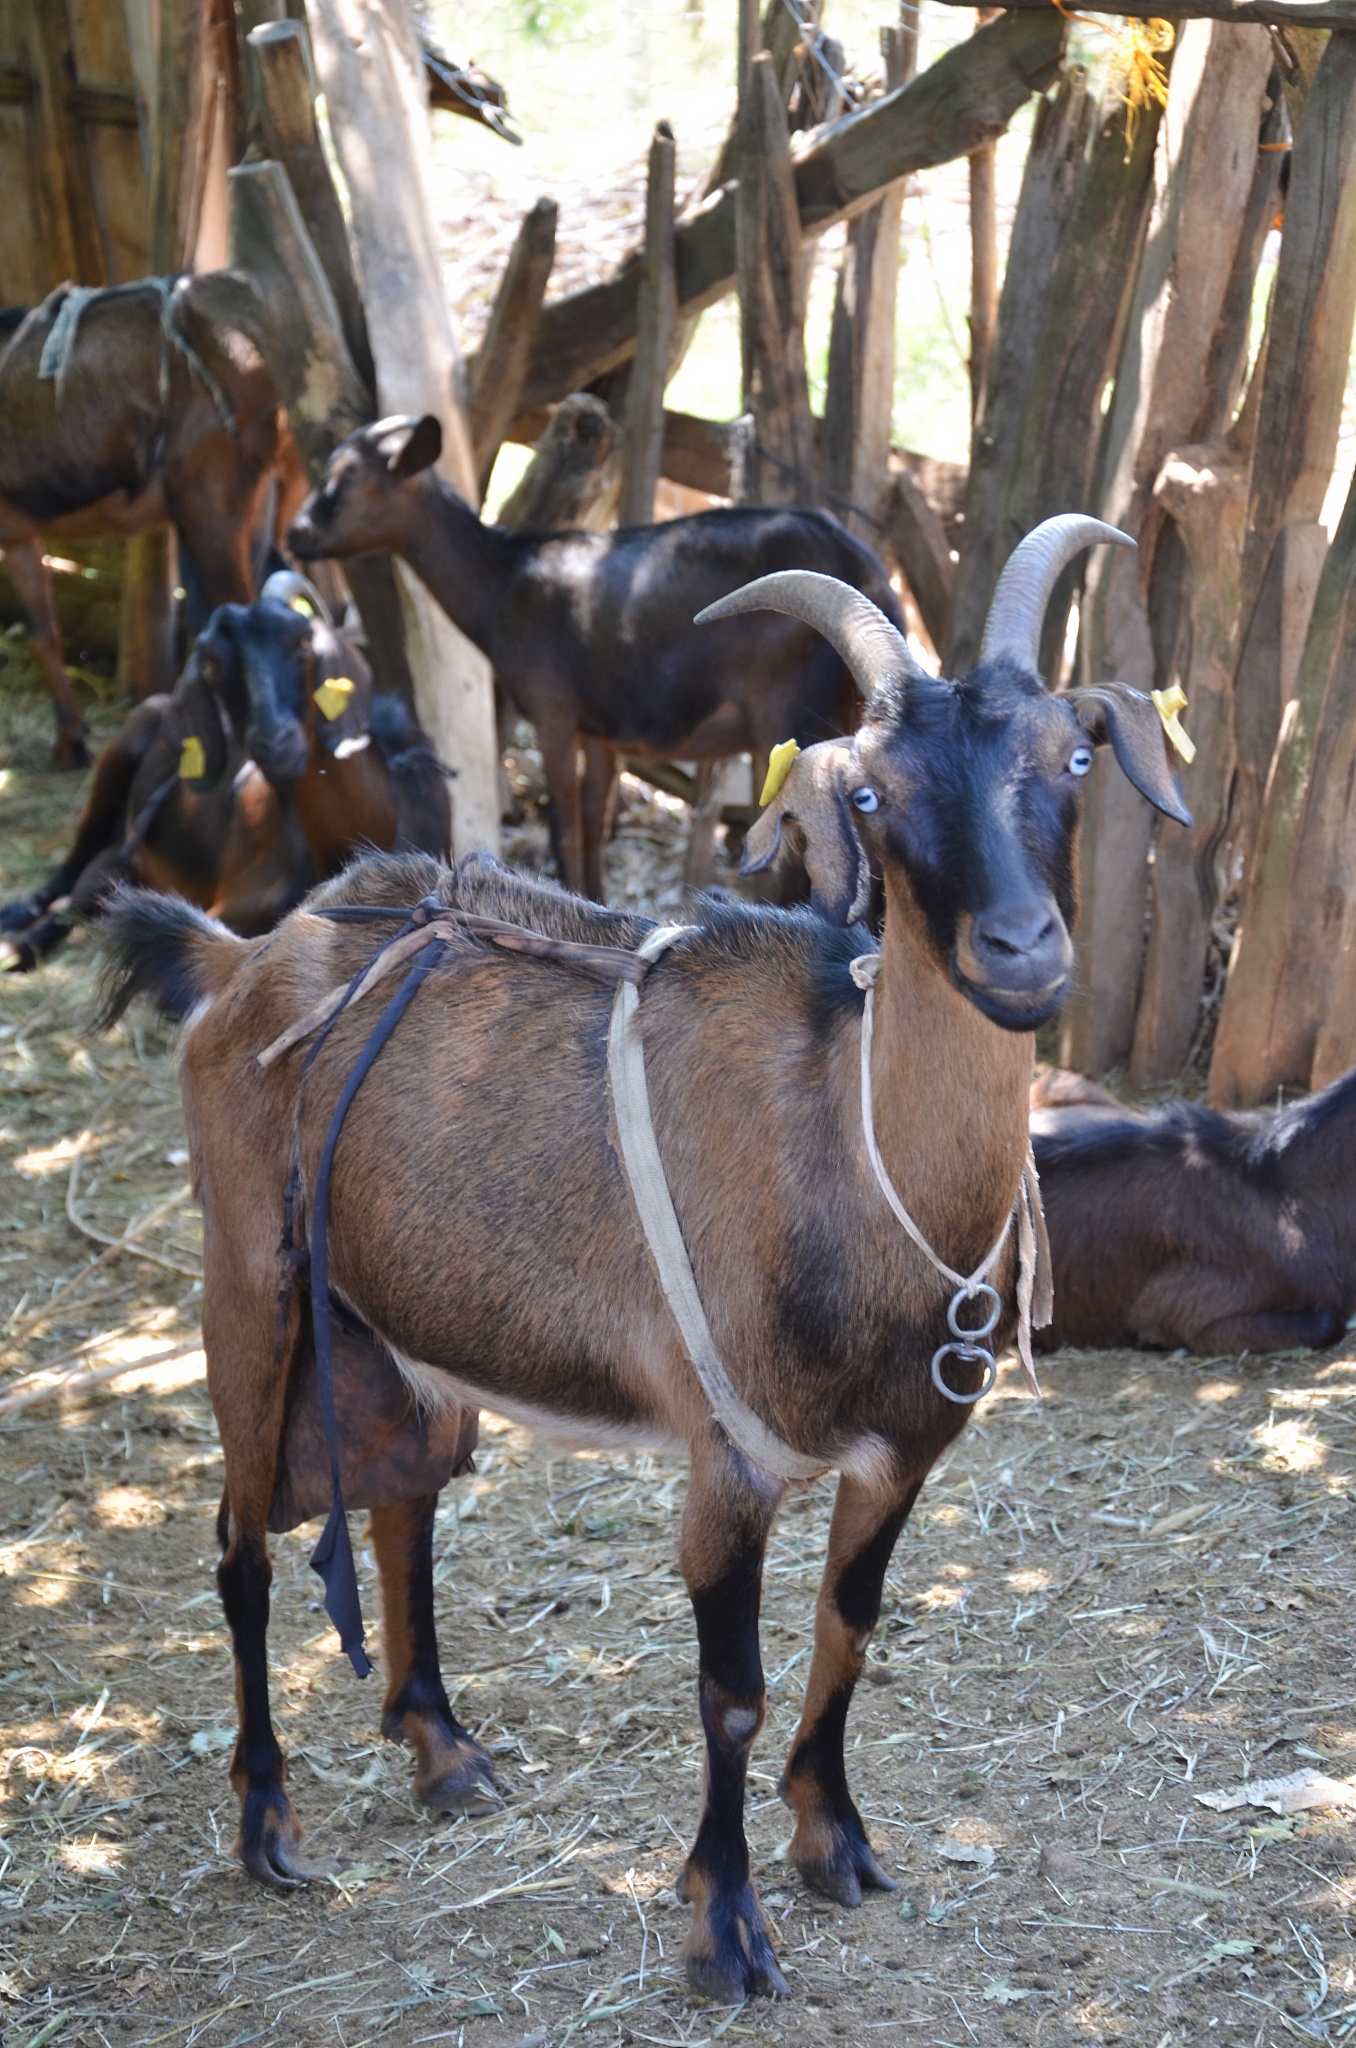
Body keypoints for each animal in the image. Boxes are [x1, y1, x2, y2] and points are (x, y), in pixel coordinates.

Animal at [0, 273, 300, 766]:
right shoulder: (19, 530)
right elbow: (42, 632)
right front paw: (72, 741)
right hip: (278, 492)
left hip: (208, 495)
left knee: (237, 607)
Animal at [1, 576, 448, 968]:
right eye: (213, 665)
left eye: (303, 642)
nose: (273, 742)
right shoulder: (228, 904)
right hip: (124, 750)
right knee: (75, 868)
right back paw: (18, 921)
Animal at [97, 518, 1190, 2004]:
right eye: (872, 793)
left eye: (1074, 756)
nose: (1021, 950)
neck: (844, 1145)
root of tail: (244, 954)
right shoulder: (726, 1462)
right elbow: (730, 1690)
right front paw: (724, 1925)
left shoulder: (900, 1453)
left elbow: (851, 1624)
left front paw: (835, 1841)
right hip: (250, 1284)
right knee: (240, 1542)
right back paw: (268, 1822)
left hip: (405, 1316)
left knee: (401, 1504)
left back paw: (445, 1750)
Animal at [286, 413, 903, 900]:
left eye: (348, 476)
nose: (295, 534)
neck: (504, 584)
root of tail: (876, 576)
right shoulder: (603, 731)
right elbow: (593, 818)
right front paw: (596, 902)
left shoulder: (552, 711)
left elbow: (563, 821)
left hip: (790, 712)